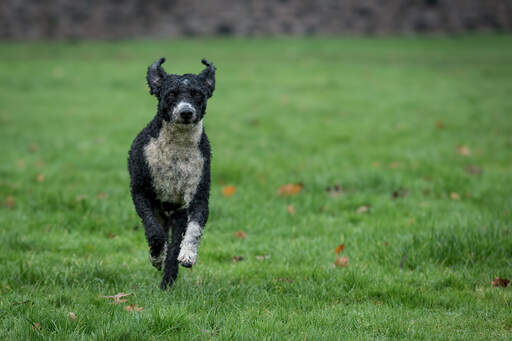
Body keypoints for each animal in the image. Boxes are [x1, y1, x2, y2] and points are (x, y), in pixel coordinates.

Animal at [130, 57, 216, 288]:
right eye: (170, 94)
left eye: (198, 94)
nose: (186, 112)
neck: (177, 147)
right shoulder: (141, 193)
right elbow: (154, 233)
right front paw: (156, 255)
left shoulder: (197, 198)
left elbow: (194, 230)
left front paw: (188, 254)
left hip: (177, 216)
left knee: (176, 243)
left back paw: (168, 280)